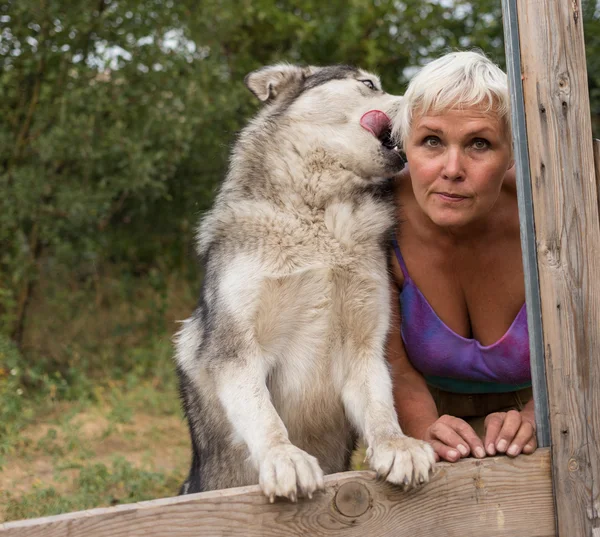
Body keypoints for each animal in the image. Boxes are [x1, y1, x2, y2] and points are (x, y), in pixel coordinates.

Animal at [175, 63, 436, 502]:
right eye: (368, 84)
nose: (420, 106)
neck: (320, 216)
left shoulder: (364, 348)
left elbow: (381, 409)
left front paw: (396, 445)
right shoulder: (236, 351)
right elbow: (266, 417)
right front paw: (284, 457)